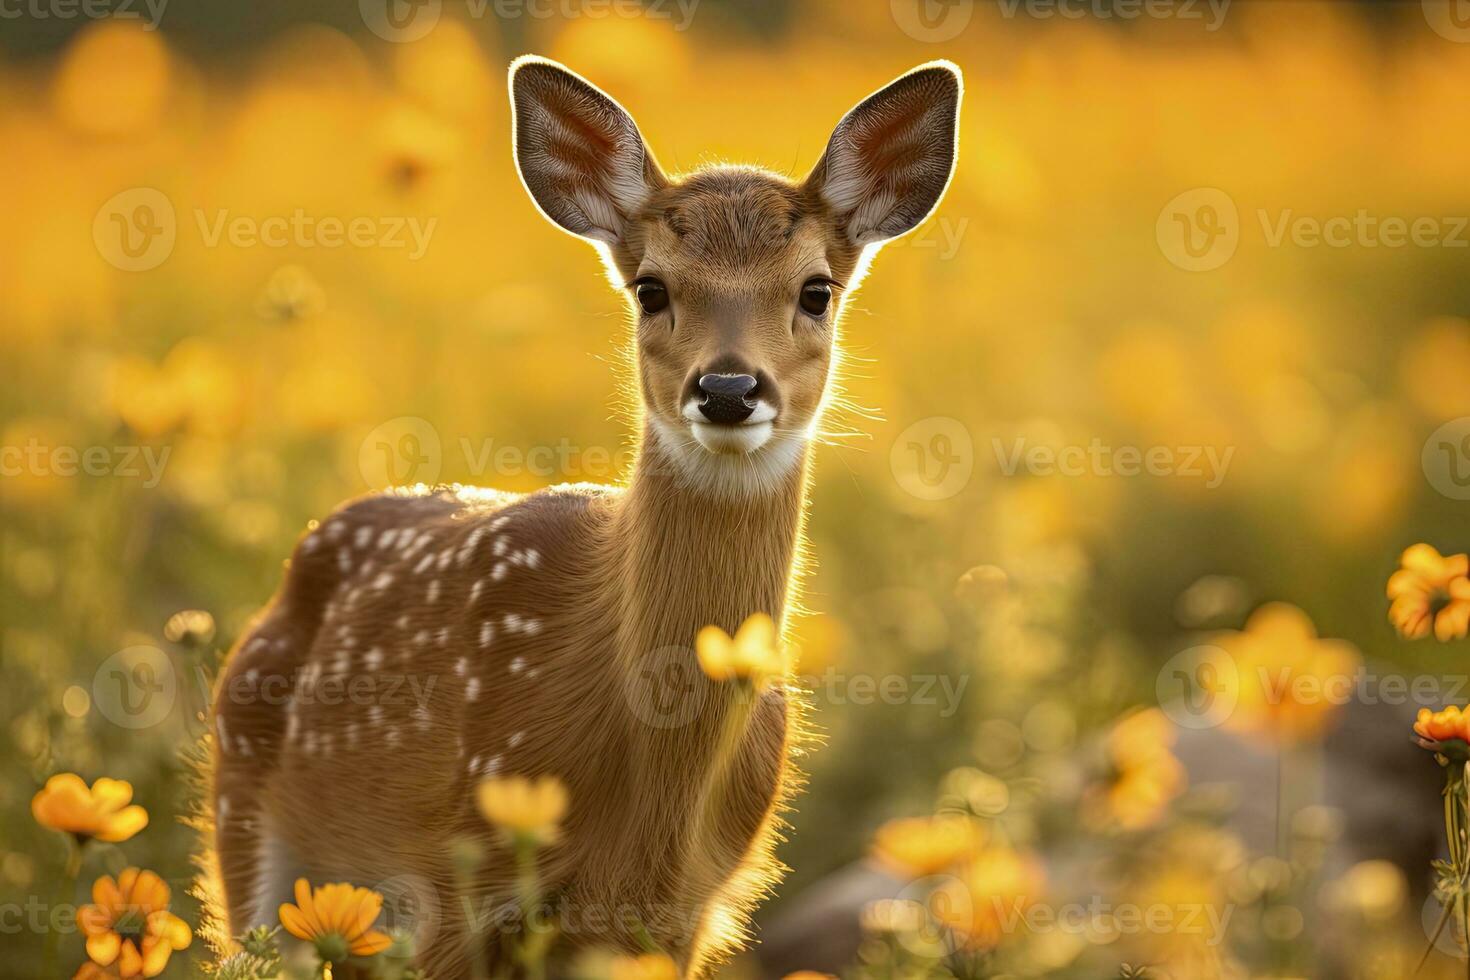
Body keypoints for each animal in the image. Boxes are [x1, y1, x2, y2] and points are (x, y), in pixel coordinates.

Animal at [207, 55, 964, 980]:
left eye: (816, 290)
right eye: (652, 288)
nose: (727, 389)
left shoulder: (684, 912)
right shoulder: (451, 875)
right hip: (250, 838)